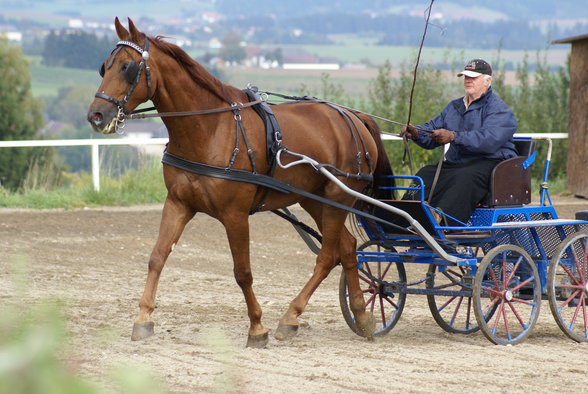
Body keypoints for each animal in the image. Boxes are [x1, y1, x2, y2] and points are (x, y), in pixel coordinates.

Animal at [85, 17, 392, 348]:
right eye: (104, 67)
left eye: (127, 67)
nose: (96, 115)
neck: (209, 128)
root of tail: (352, 116)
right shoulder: (178, 203)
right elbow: (157, 257)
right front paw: (143, 318)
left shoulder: (235, 215)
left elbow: (242, 271)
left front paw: (257, 327)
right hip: (314, 198)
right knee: (347, 249)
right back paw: (361, 316)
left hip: (337, 197)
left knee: (327, 256)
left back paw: (291, 317)